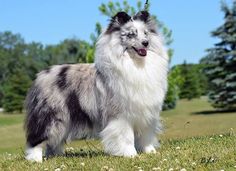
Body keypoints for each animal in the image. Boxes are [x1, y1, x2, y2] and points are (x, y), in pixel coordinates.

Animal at [24, 10, 169, 162]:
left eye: (145, 33)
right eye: (131, 34)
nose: (146, 43)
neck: (137, 65)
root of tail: (41, 75)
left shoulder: (147, 114)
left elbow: (146, 136)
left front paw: (150, 152)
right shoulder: (121, 115)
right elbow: (127, 136)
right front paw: (130, 154)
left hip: (65, 119)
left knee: (54, 142)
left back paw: (57, 156)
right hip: (50, 116)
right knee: (37, 138)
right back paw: (35, 159)